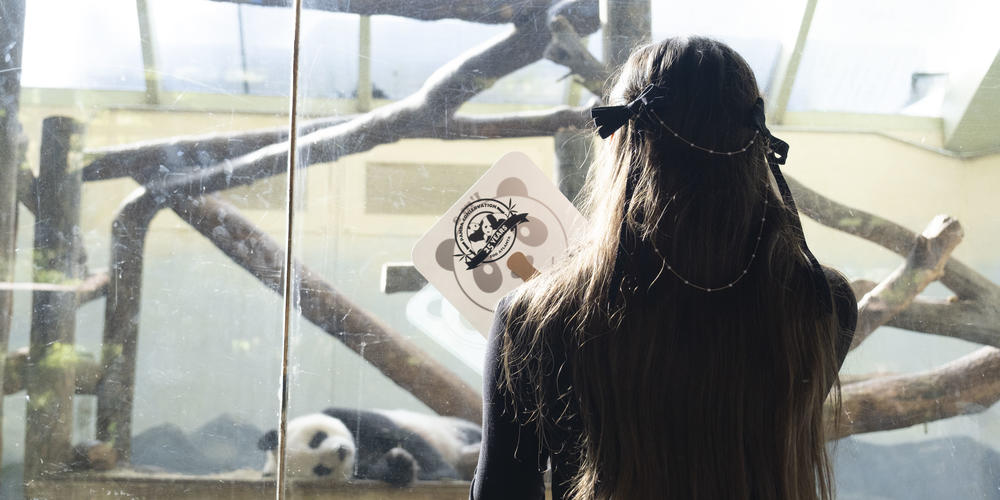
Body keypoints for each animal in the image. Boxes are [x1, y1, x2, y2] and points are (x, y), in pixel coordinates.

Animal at [256, 408, 478, 486]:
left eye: (317, 439)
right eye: (320, 469)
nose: (341, 451)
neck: (360, 452)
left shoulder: (346, 416)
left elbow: (400, 435)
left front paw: (442, 473)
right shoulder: (361, 472)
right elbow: (383, 471)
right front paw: (400, 466)